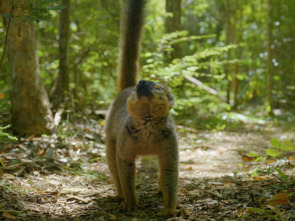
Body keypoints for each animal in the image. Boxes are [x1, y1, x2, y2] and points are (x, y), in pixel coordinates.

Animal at [106, 0, 179, 216]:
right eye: (138, 88)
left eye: (158, 87)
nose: (141, 83)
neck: (148, 123)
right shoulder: (126, 137)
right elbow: (124, 163)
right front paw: (131, 202)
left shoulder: (169, 139)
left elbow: (169, 168)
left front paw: (170, 209)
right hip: (111, 135)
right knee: (113, 162)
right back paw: (120, 194)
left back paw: (160, 189)